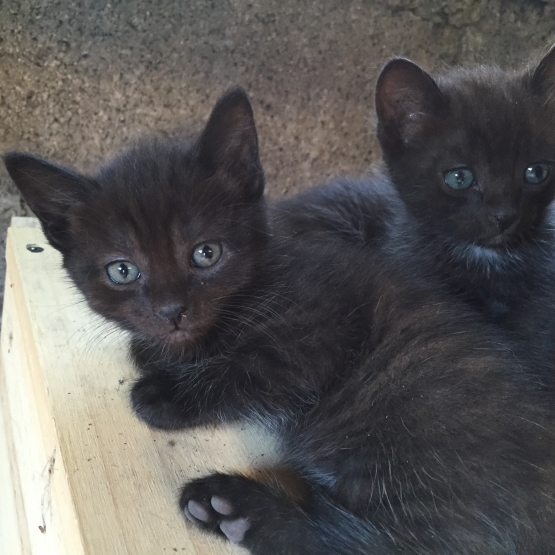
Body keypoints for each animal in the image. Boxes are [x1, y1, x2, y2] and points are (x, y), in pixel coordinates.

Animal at [6, 89, 555, 552]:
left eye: (206, 254)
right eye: (122, 271)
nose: (171, 311)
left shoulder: (316, 330)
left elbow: (251, 369)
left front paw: (166, 391)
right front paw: (155, 350)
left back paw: (238, 508)